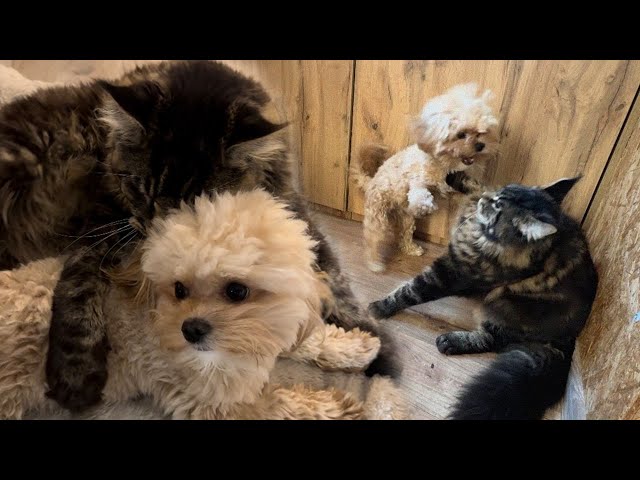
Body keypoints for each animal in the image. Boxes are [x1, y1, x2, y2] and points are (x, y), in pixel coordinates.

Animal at [0, 191, 408, 420]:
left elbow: (308, 339)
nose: (191, 330)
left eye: (237, 291)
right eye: (179, 288)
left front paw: (354, 347)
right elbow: (281, 403)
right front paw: (338, 407)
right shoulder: (212, 403)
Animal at [370, 176, 600, 420]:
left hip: (506, 306)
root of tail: (570, 340)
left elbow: (409, 291)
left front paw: (379, 307)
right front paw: (454, 178)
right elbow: (476, 184)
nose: (486, 200)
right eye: (503, 190)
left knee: (491, 340)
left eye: (498, 207)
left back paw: (450, 342)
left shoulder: (450, 275)